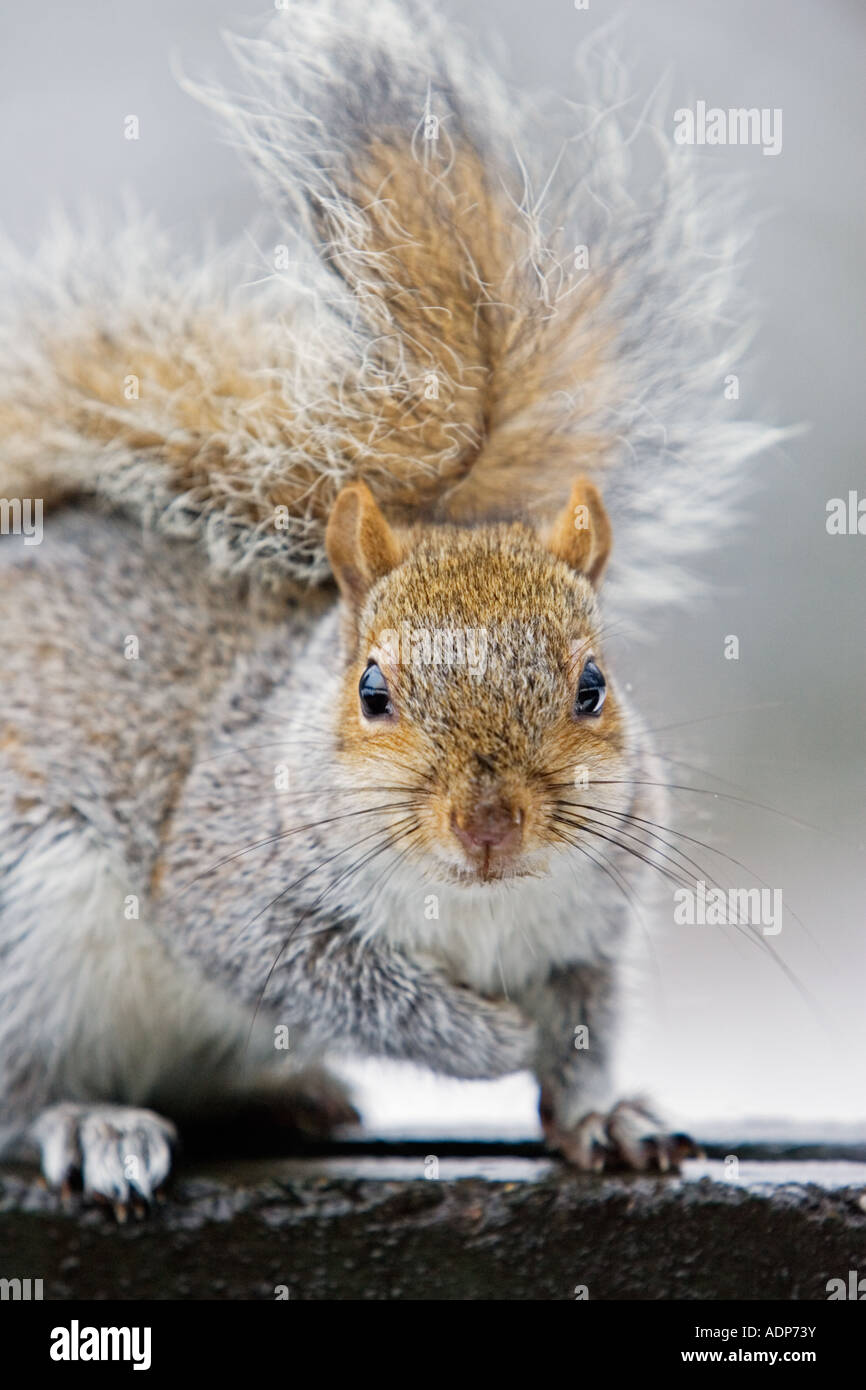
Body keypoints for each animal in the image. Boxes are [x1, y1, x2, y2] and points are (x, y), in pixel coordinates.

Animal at [0, 1, 779, 1210]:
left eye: (593, 686)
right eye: (371, 691)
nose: (489, 824)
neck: (476, 903)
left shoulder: (589, 931)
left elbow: (586, 1032)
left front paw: (602, 1113)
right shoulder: (234, 883)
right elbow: (328, 979)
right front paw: (487, 1039)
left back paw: (284, 1093)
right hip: (27, 941)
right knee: (21, 1090)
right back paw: (89, 1120)